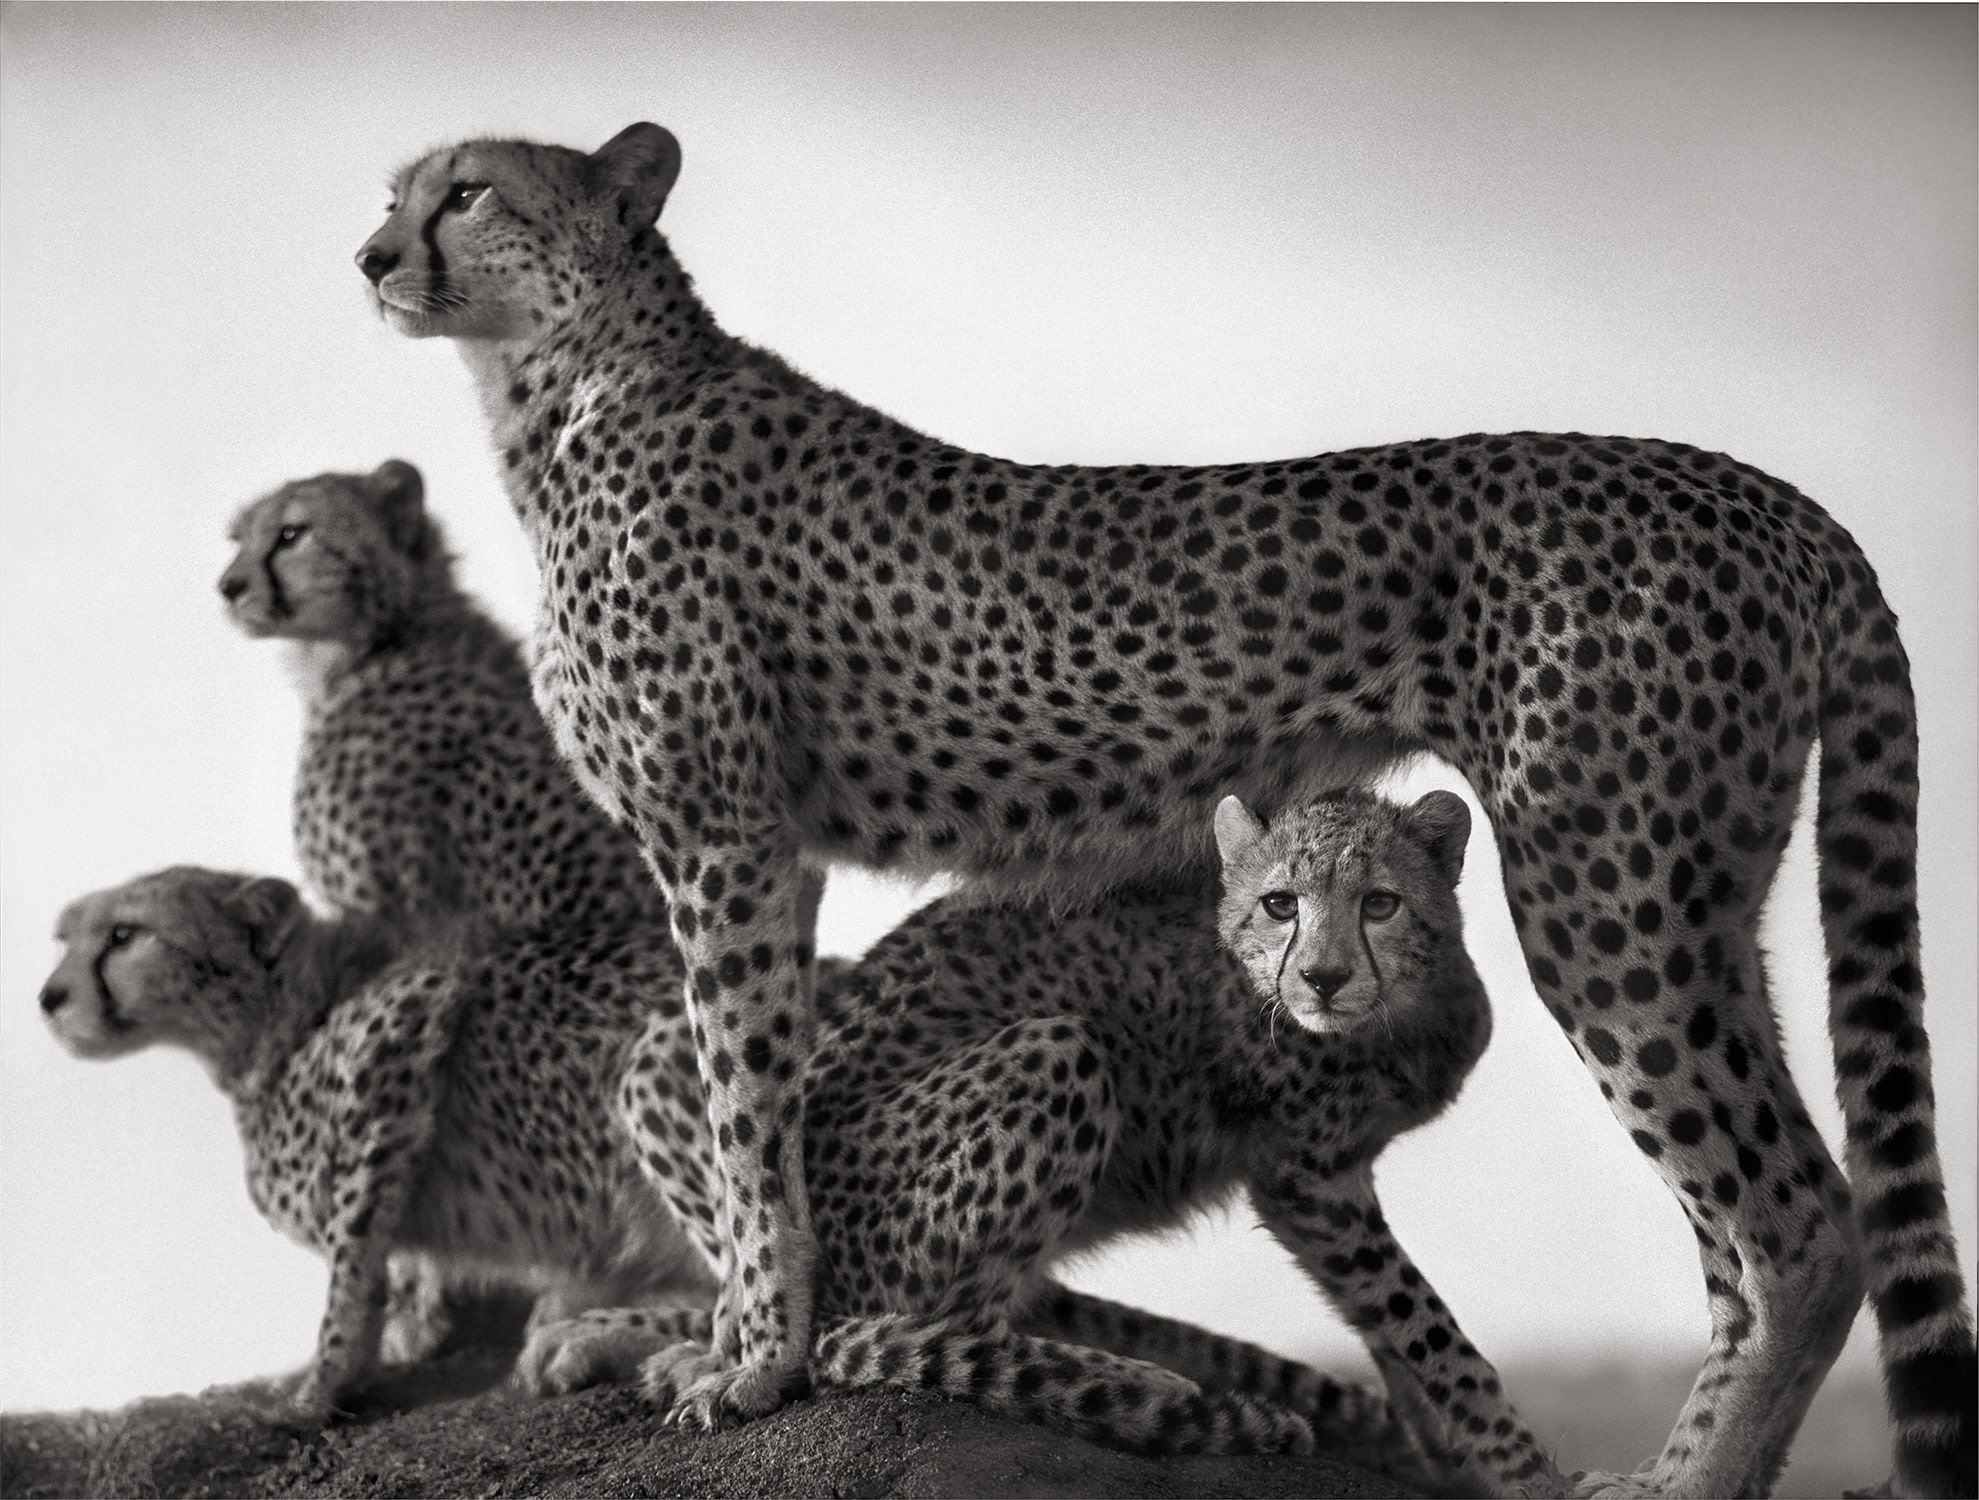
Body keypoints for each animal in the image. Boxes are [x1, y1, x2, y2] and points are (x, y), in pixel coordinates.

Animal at [38, 866, 715, 1419]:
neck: (284, 1014)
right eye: (64, 940)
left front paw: (320, 1386)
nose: (48, 997)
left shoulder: (408, 1013)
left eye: (124, 935)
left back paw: (614, 1342)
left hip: (653, 1066)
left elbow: (352, 1252)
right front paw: (415, 1328)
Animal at [522, 786, 1551, 1490]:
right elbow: (1424, 1325)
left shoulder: (1337, 1181)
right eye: (1279, 905)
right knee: (908, 1333)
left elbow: (1388, 1330)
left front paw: (1444, 1454)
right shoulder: (1308, 1179)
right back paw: (1144, 1387)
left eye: (1378, 902)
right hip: (1058, 1053)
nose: (1326, 979)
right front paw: (1519, 1462)